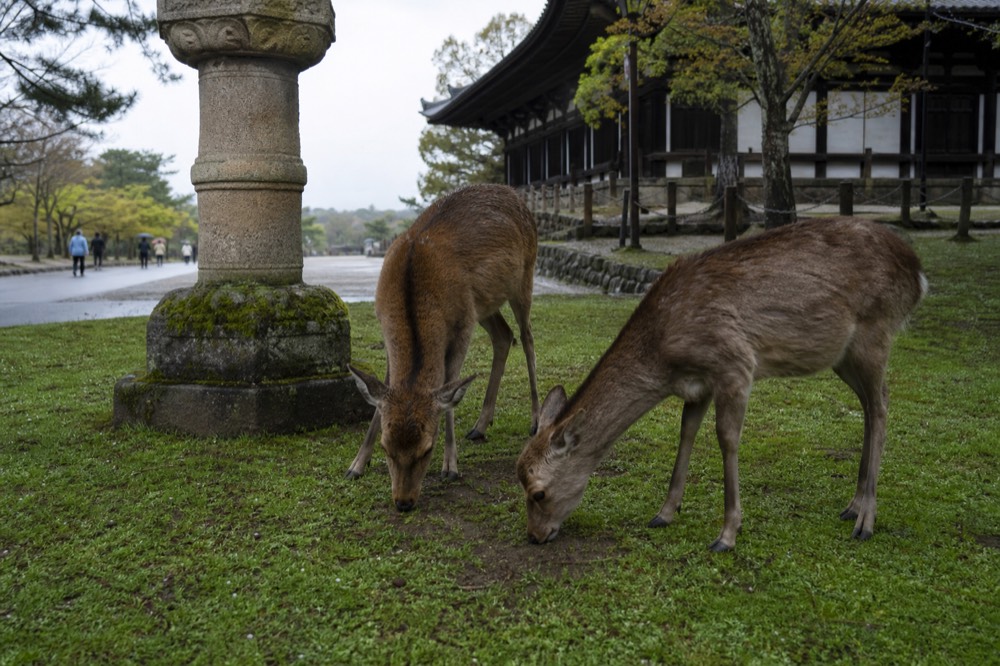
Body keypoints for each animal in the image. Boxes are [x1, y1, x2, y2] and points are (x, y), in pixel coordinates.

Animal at [348, 184, 540, 513]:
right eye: (387, 447)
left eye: (427, 449)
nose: (403, 502)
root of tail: (517, 196)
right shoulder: (384, 330)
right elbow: (384, 388)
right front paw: (357, 464)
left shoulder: (462, 324)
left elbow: (451, 387)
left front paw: (450, 466)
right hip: (485, 304)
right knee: (504, 336)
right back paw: (480, 426)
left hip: (523, 279)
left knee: (527, 339)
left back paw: (535, 421)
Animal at [516, 217, 927, 551]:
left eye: (538, 493)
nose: (534, 536)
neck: (663, 352)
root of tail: (918, 271)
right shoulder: (697, 384)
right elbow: (686, 434)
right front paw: (665, 513)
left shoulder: (734, 364)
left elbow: (727, 439)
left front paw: (727, 534)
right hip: (843, 356)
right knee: (869, 405)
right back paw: (853, 506)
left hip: (875, 333)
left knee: (882, 404)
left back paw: (866, 520)